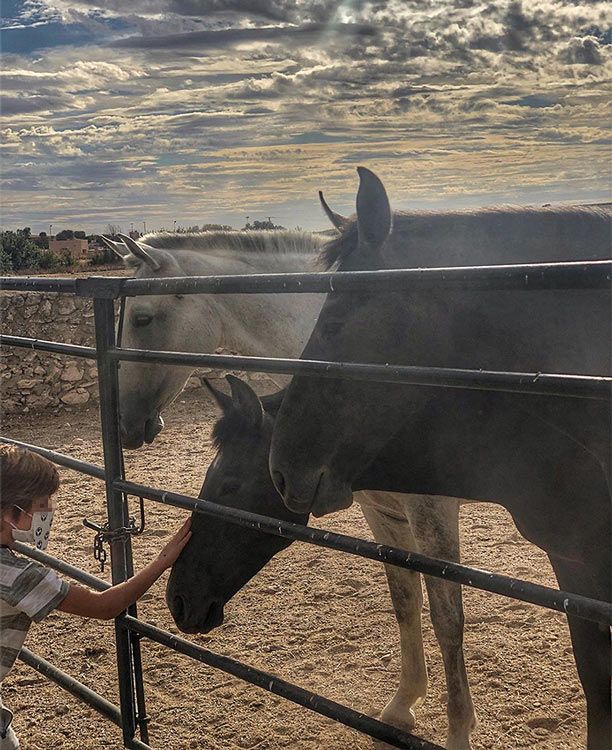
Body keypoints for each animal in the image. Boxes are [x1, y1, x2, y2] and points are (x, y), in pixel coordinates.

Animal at [106, 229, 474, 750]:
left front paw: (458, 729)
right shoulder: (381, 509)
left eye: (142, 318)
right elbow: (404, 597)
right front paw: (402, 704)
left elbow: (448, 617)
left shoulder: (432, 510)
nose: (125, 423)